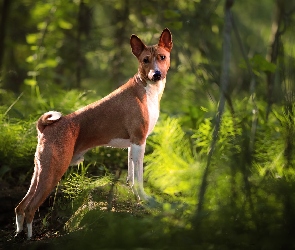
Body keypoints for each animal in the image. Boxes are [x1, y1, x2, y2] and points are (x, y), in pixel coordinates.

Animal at [15, 27, 173, 240]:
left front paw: (133, 196)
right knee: (30, 208)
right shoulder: (140, 141)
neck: (147, 90)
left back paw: (18, 233)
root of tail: (44, 128)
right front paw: (144, 199)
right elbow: (139, 178)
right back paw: (30, 237)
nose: (156, 74)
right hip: (53, 171)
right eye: (145, 60)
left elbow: (131, 176)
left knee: (20, 207)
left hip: (39, 171)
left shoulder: (133, 144)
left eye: (162, 57)